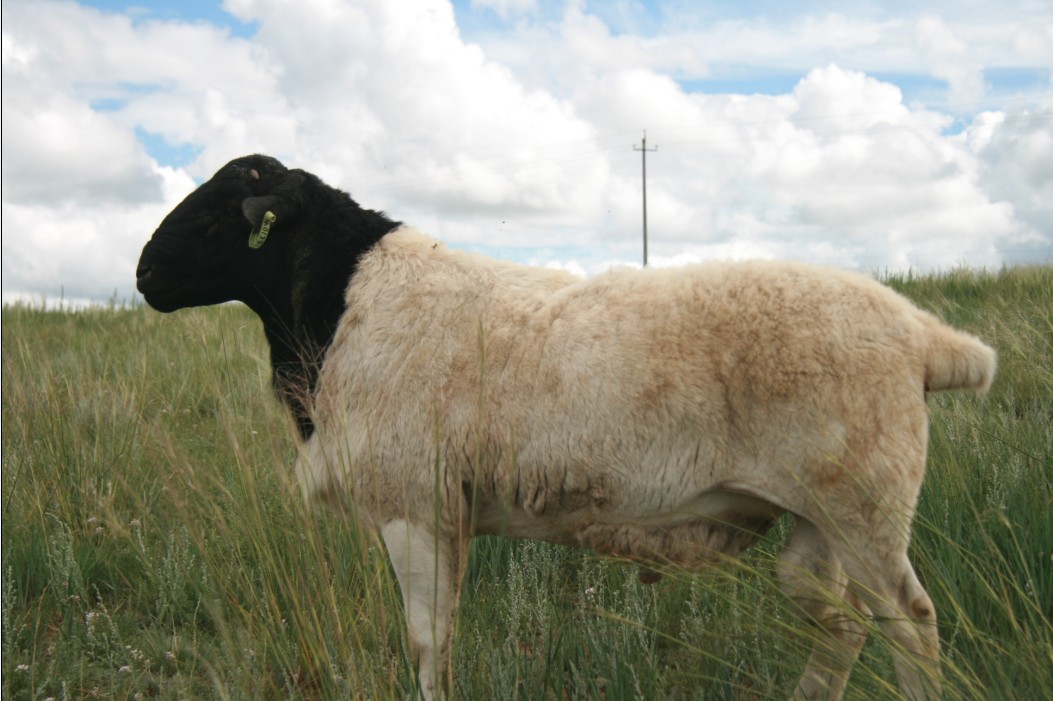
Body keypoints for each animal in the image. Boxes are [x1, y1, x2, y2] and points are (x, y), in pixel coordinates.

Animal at [137, 154, 997, 701]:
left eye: (219, 211)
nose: (143, 275)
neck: (341, 302)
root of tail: (926, 338)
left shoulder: (415, 504)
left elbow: (428, 644)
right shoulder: (443, 510)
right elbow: (438, 640)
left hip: (864, 502)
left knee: (910, 627)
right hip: (818, 524)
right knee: (844, 628)